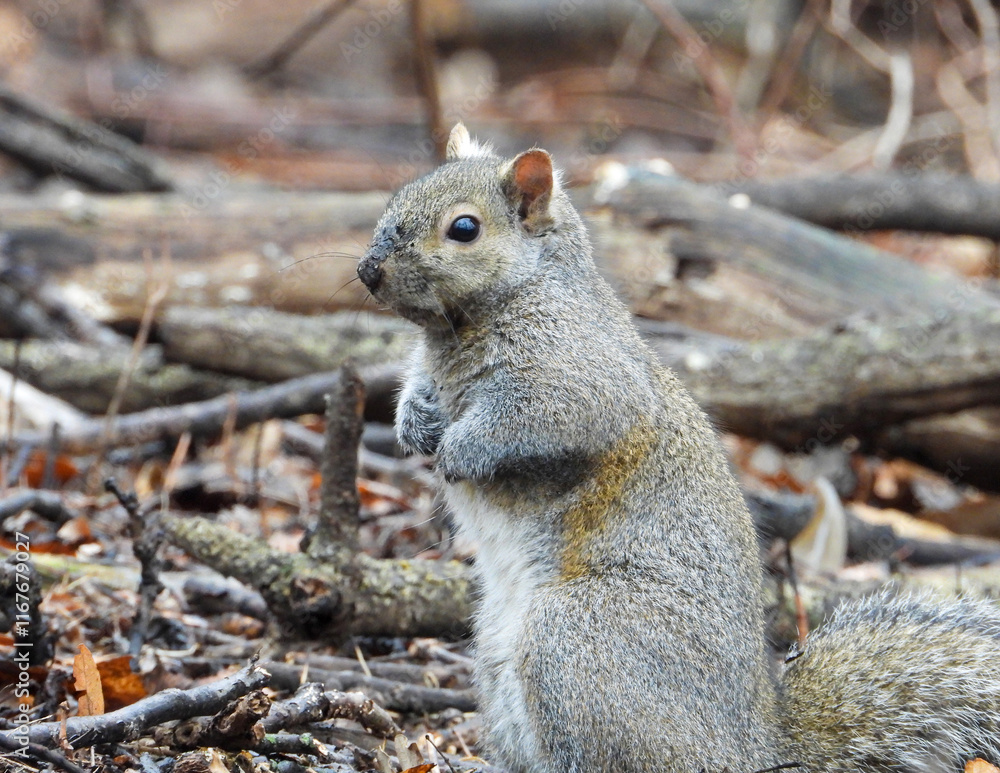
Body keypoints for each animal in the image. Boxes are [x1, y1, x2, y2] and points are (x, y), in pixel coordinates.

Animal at [357, 123, 1000, 773]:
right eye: (397, 196)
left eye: (464, 228)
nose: (367, 270)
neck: (464, 326)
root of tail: (750, 746)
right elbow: (416, 392)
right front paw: (415, 425)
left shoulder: (581, 377)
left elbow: (538, 420)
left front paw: (457, 452)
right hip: (496, 654)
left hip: (575, 640)